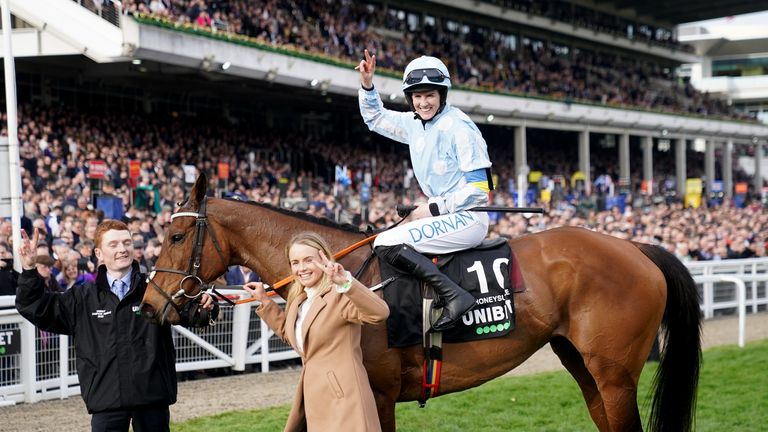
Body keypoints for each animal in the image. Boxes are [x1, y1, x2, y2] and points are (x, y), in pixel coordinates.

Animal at [140, 174, 704, 430]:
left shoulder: (381, 393)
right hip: (585, 367)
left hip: (615, 374)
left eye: (174, 236)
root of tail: (637, 247)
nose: (148, 305)